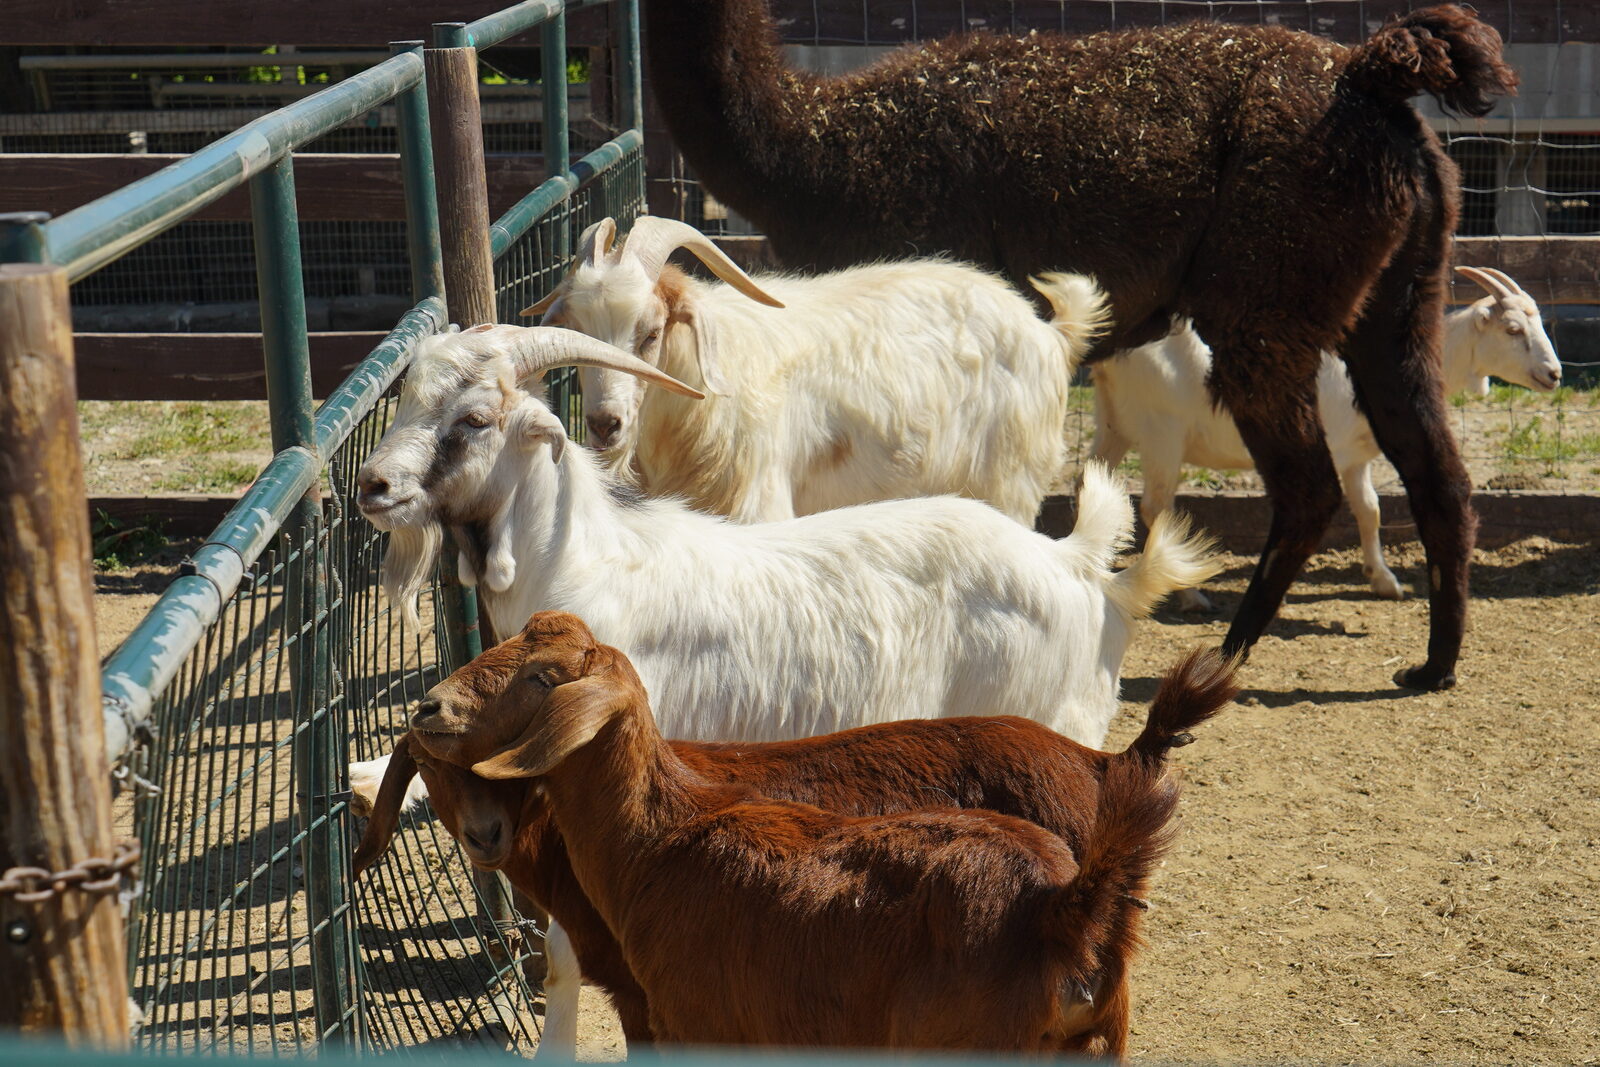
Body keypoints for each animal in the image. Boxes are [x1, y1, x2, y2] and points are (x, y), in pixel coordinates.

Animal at [1093, 267, 1561, 610]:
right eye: (1513, 329)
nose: (1554, 373)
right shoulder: (1332, 449)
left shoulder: (1355, 456)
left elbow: (1370, 511)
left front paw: (1384, 581)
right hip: (1163, 433)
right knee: (1155, 507)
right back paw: (1189, 595)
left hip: (1113, 426)